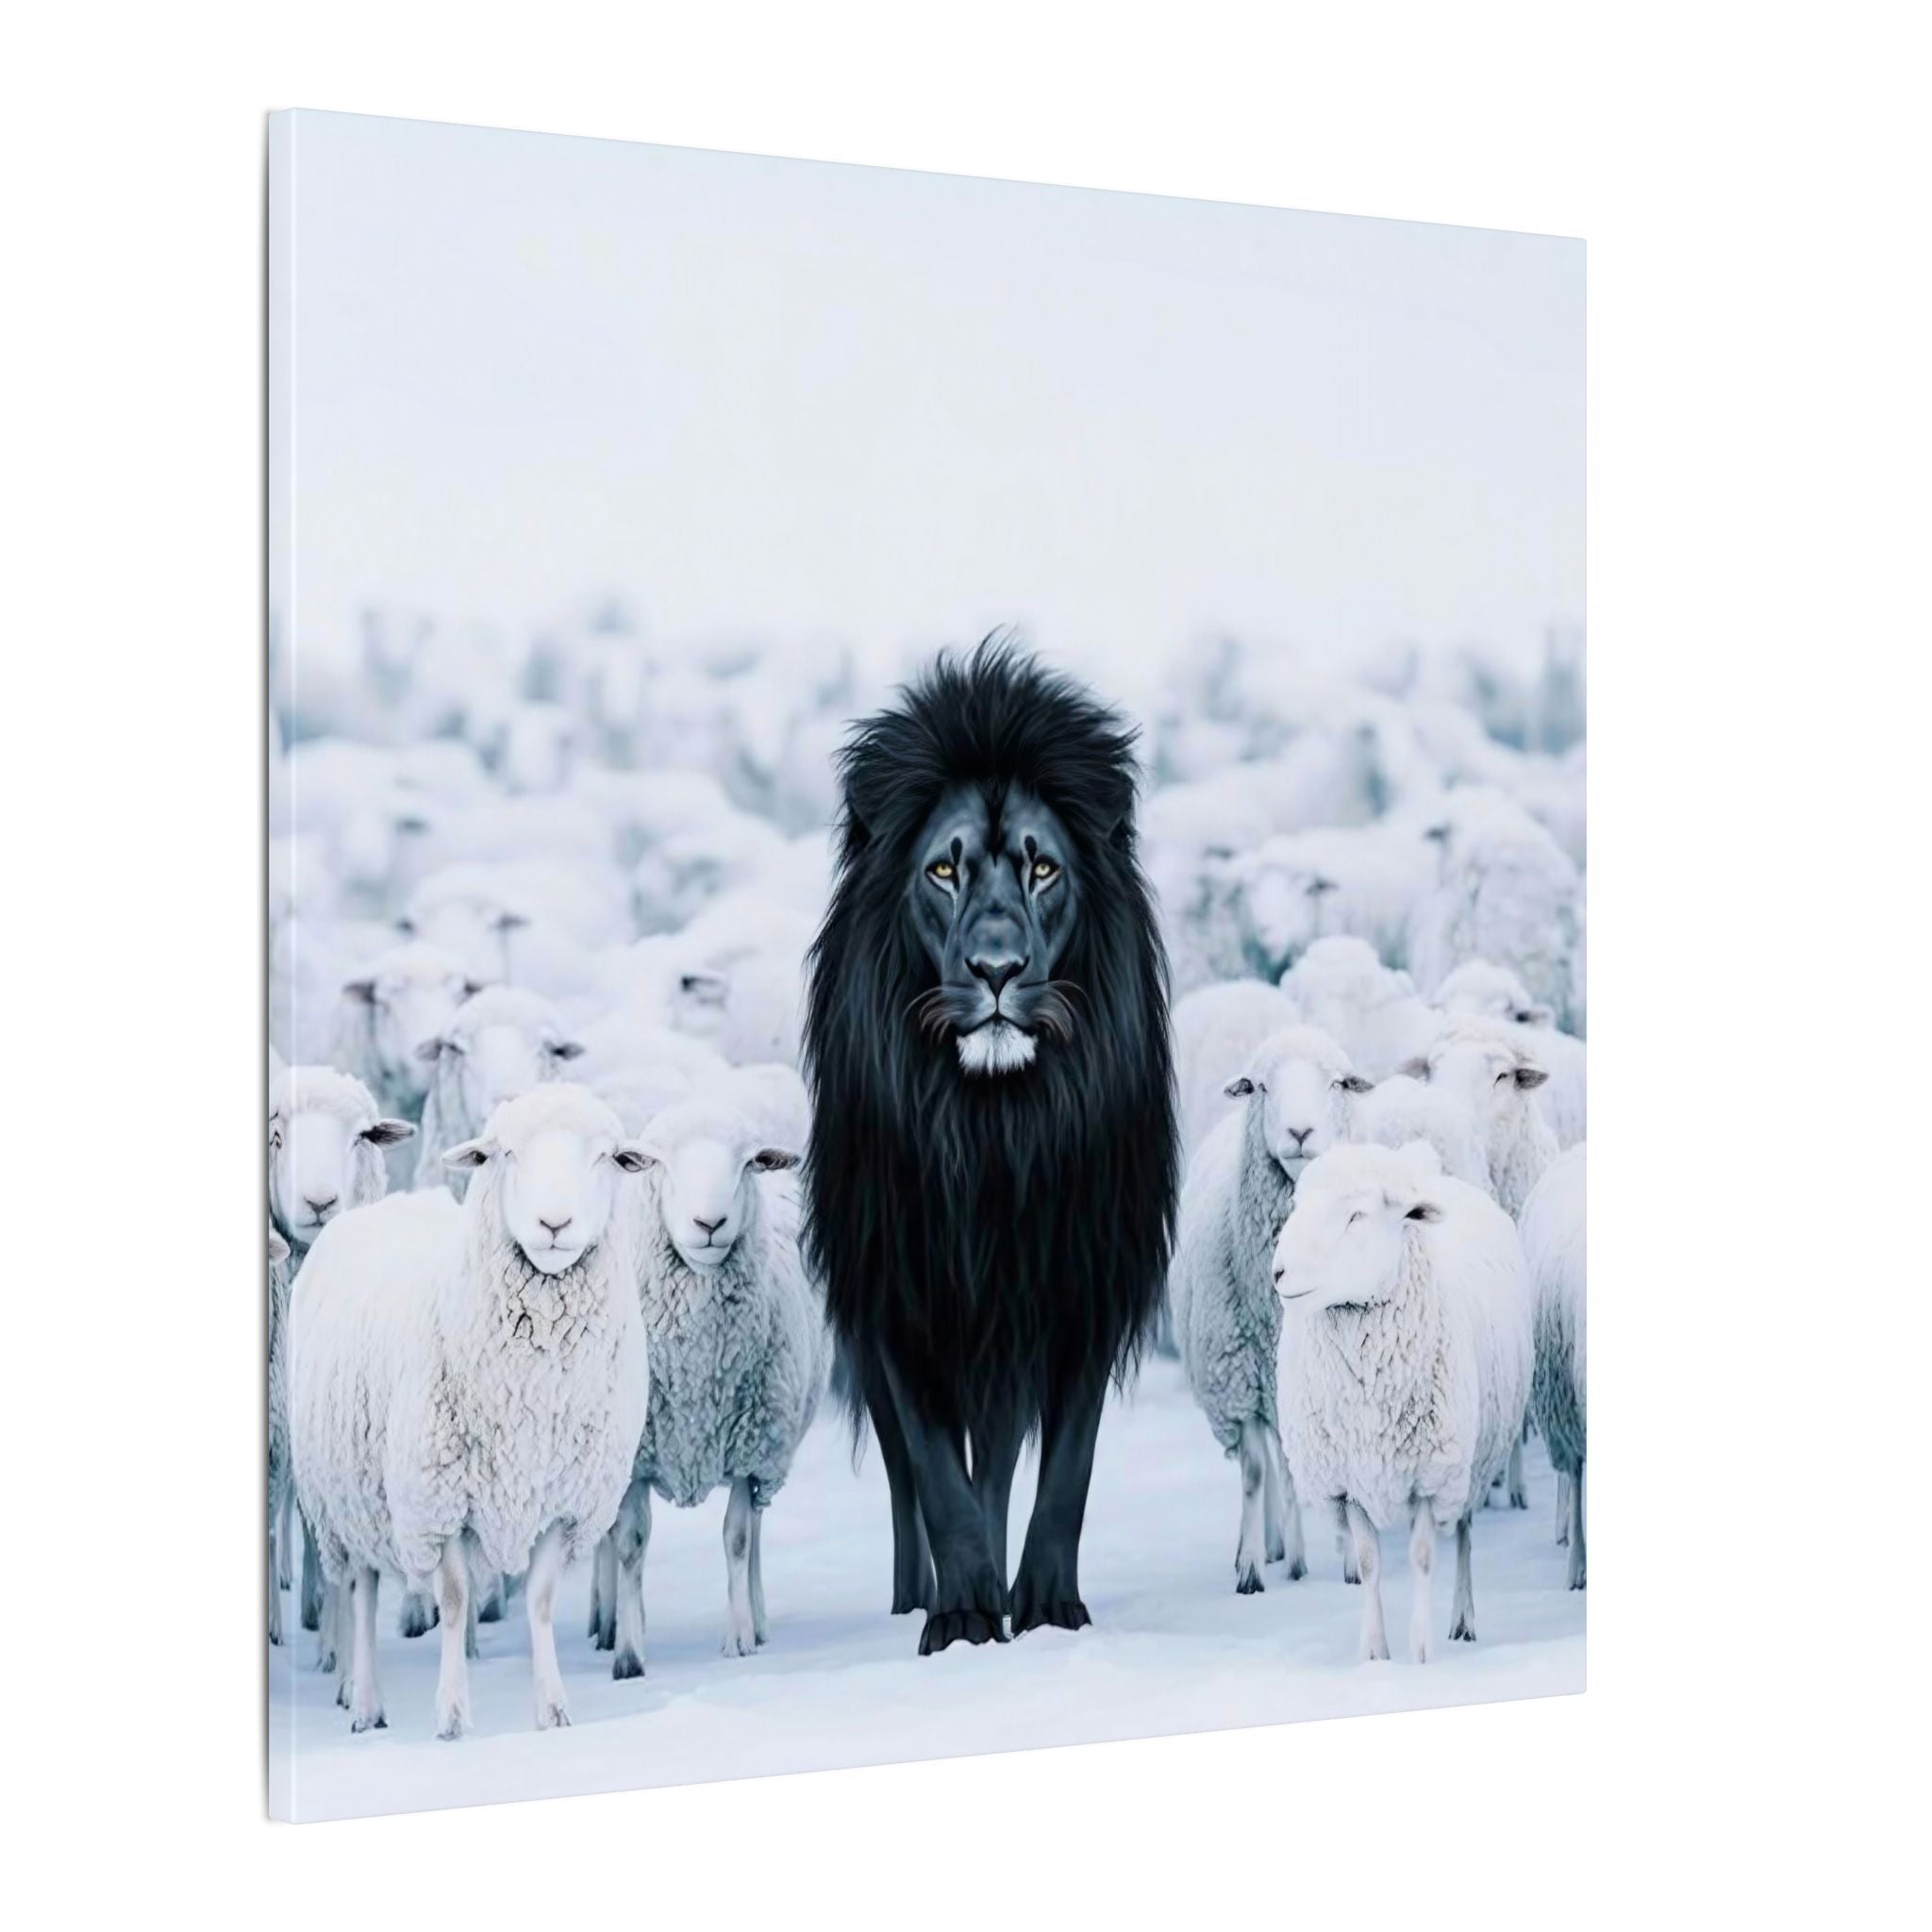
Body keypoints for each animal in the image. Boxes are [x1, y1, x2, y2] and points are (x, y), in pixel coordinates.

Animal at [289, 1084, 652, 1736]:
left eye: (607, 1158)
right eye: (505, 1153)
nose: (553, 1224)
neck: (533, 1389)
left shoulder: (561, 1500)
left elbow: (539, 1600)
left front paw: (552, 1710)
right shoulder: (440, 1502)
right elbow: (455, 1601)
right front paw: (453, 1715)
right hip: (347, 1499)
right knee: (359, 1590)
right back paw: (364, 1700)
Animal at [590, 1089, 829, 1675]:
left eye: (748, 1164)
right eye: (659, 1163)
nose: (710, 1223)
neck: (699, 1370)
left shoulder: (749, 1448)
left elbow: (738, 1540)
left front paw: (739, 1638)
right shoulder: (635, 1457)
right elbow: (629, 1543)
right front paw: (628, 1654)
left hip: (772, 1454)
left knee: (758, 1532)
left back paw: (759, 1621)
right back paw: (608, 1623)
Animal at [803, 640, 1179, 1653]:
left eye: (1043, 870)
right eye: (944, 871)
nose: (999, 970)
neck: (996, 1129)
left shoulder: (1080, 1286)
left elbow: (1064, 1474)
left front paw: (1045, 1609)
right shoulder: (901, 1294)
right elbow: (939, 1480)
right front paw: (964, 1616)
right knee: (910, 1484)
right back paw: (918, 1598)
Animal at [1271, 1141, 1532, 1662]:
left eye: (1356, 1215)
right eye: (1297, 1206)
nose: (1278, 1272)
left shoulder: (1430, 1477)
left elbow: (1423, 1557)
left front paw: (1422, 1650)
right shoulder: (1347, 1482)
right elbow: (1369, 1563)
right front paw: (1376, 1654)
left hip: (1469, 1462)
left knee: (1465, 1536)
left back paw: (1463, 1620)